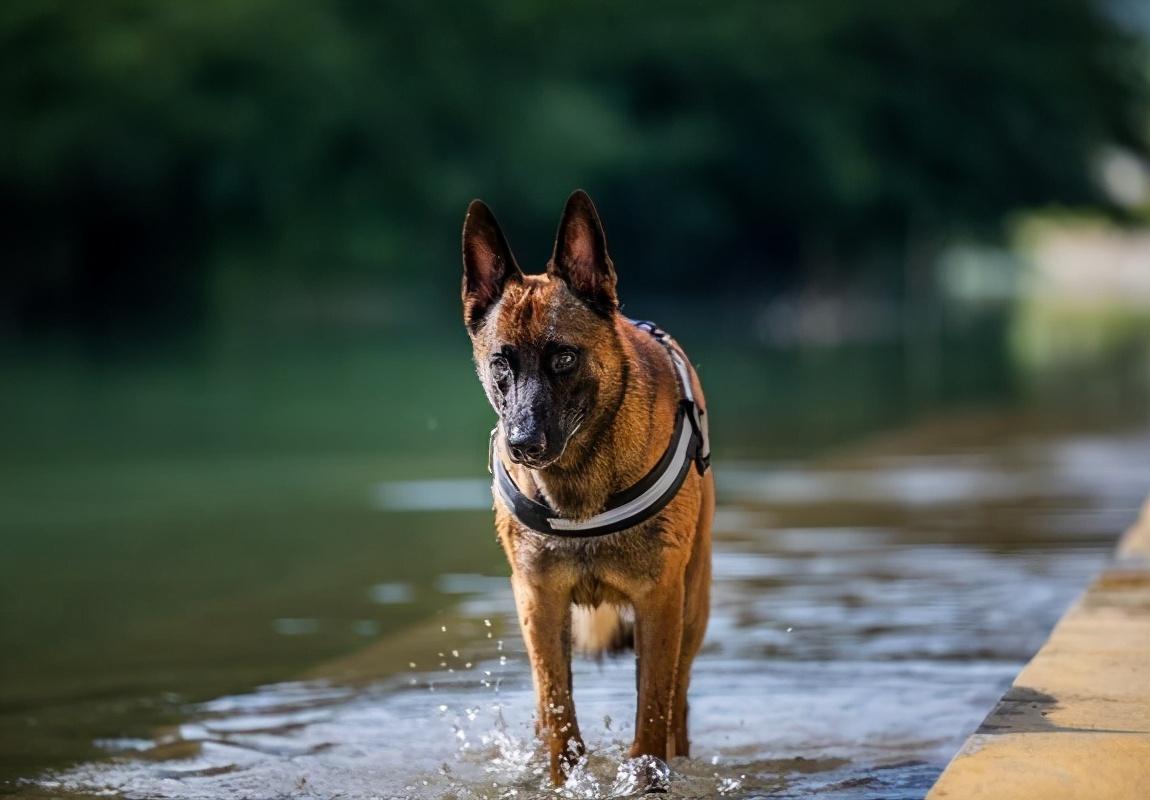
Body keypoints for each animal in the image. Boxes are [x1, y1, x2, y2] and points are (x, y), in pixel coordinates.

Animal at [457, 190, 708, 786]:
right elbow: (558, 711)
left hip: (693, 605)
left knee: (680, 703)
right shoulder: (539, 602)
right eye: (501, 363)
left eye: (564, 358)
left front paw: (645, 780)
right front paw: (564, 779)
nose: (522, 443)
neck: (579, 485)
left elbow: (653, 713)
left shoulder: (659, 601)